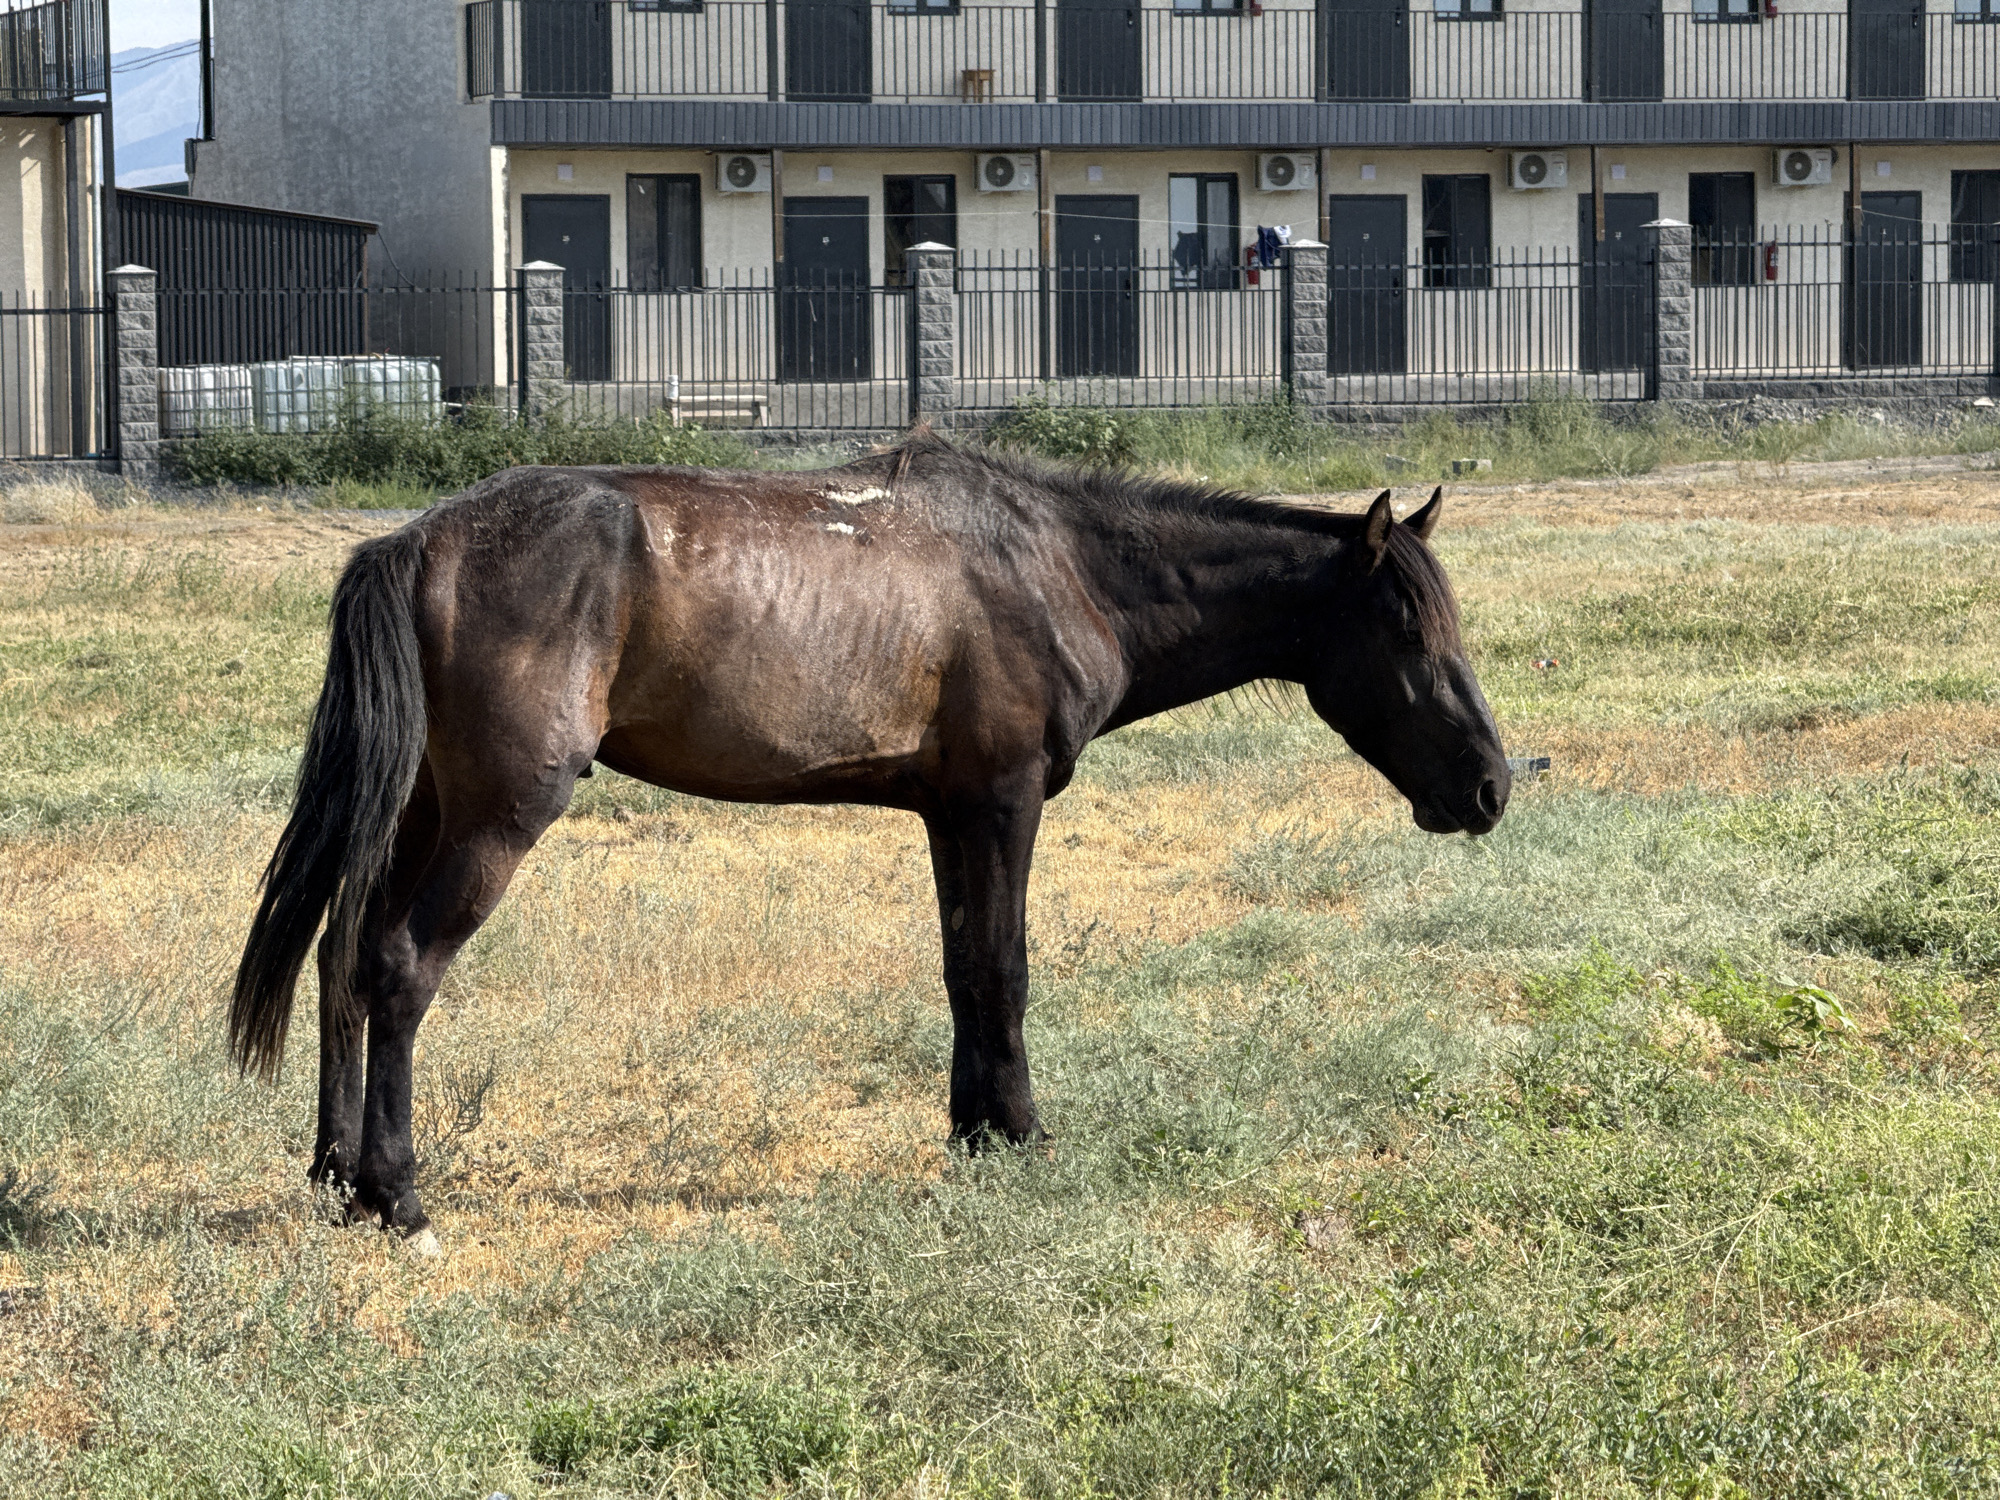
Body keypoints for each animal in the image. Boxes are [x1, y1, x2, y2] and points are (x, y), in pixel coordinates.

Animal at [231, 435, 1509, 1246]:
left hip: (423, 808)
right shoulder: (1002, 804)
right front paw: (1022, 1134)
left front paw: (972, 1131)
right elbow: (1005, 967)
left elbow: (962, 971)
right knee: (400, 969)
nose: (1491, 786)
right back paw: (399, 1198)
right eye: (1406, 630)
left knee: (346, 956)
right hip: (496, 817)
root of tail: (414, 543)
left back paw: (337, 1176)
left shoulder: (949, 813)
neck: (1060, 566)